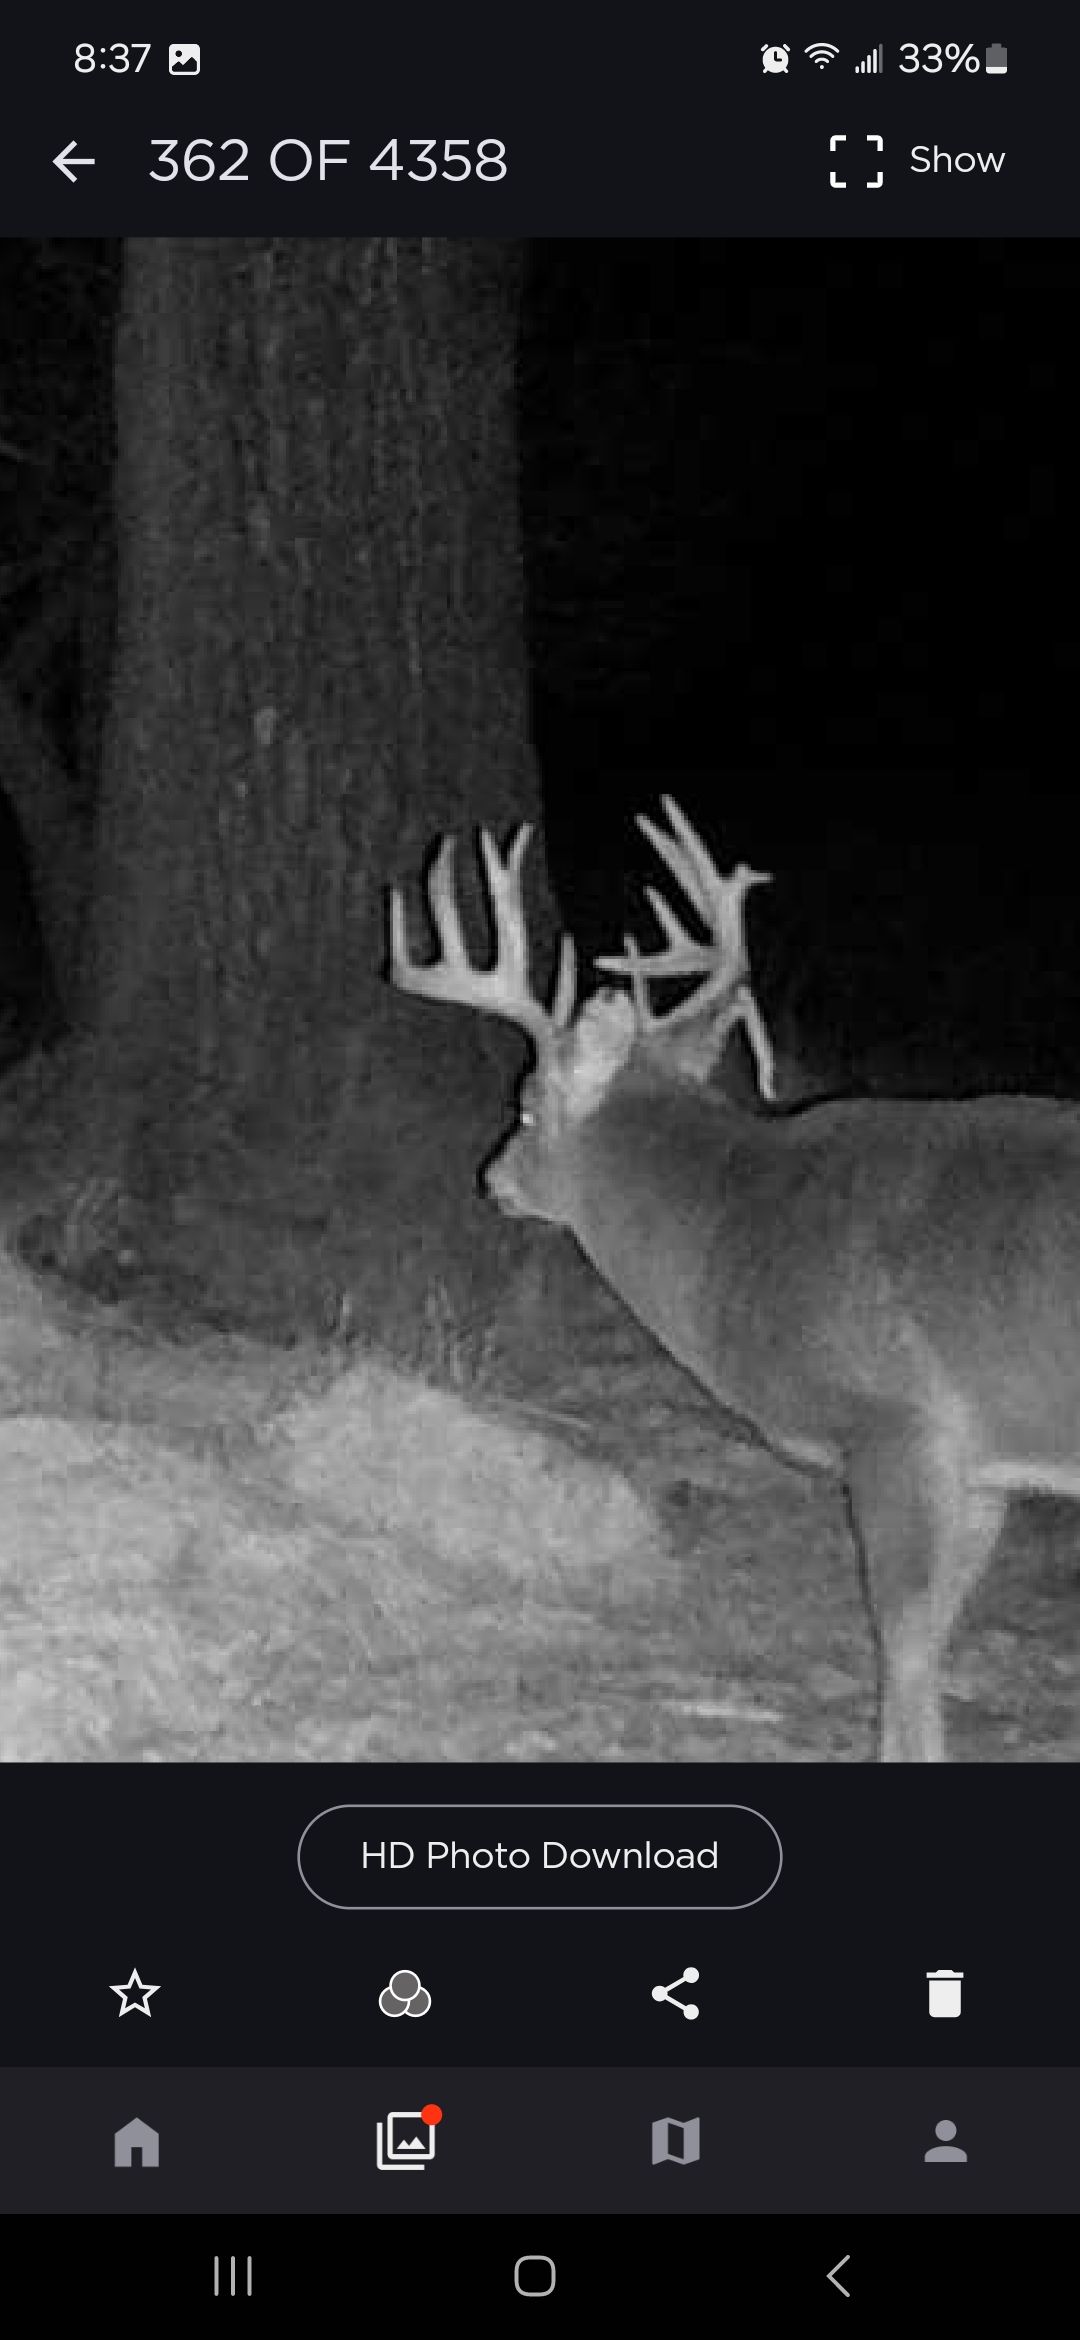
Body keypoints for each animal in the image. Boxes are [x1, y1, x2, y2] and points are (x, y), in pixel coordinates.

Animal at [390, 796, 1079, 1761]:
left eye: (525, 1107)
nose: (492, 1179)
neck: (740, 1228)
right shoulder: (984, 1466)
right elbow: (933, 1633)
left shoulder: (894, 1421)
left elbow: (901, 1637)